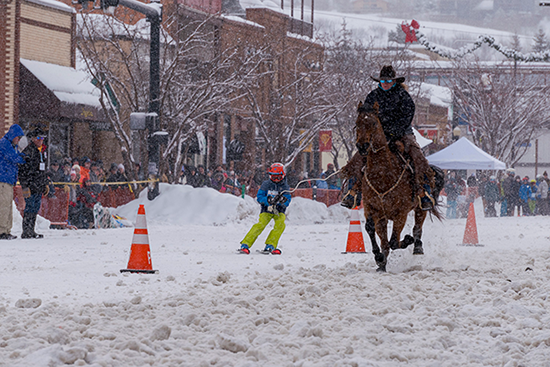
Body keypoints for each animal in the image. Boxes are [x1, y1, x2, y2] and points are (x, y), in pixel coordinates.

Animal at [358, 102, 444, 272]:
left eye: (373, 123)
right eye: (357, 123)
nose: (362, 146)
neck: (383, 175)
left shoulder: (401, 213)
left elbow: (394, 241)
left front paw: (407, 240)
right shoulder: (372, 209)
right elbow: (371, 229)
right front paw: (379, 258)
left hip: (420, 206)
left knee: (417, 227)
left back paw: (417, 246)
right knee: (385, 240)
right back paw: (382, 263)